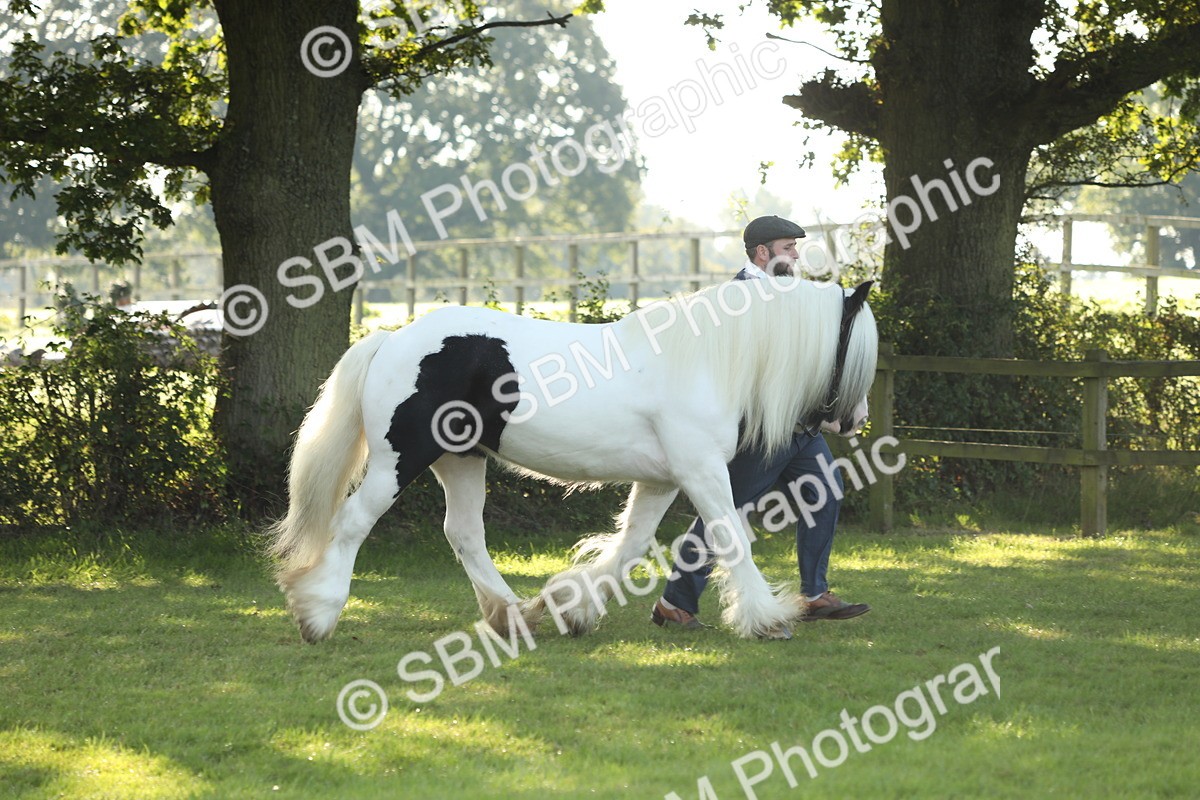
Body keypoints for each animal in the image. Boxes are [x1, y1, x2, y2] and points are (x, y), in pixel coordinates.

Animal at [268, 276, 877, 642]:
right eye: (854, 348)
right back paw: (318, 615)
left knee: (463, 534)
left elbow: (630, 546)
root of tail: (391, 339)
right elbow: (730, 536)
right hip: (402, 460)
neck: (705, 359)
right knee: (352, 522)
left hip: (461, 462)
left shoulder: (662, 480)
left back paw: (517, 614)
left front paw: (572, 605)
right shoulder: (701, 472)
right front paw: (767, 619)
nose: (855, 420)